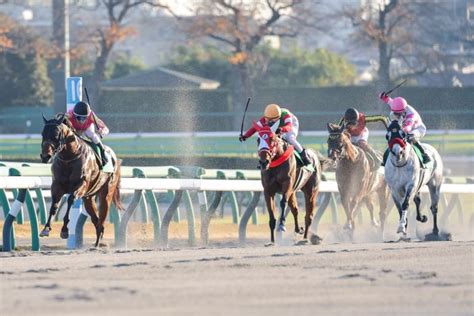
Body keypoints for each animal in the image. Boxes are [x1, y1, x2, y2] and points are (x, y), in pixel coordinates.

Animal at [40, 113, 123, 247]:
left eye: (56, 135)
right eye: (43, 134)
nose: (45, 156)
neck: (69, 157)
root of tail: (114, 157)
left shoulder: (81, 185)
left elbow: (70, 200)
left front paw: (64, 230)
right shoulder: (57, 185)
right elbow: (54, 205)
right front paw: (46, 229)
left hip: (106, 194)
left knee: (101, 219)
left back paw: (97, 243)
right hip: (88, 198)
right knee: (96, 221)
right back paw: (96, 243)